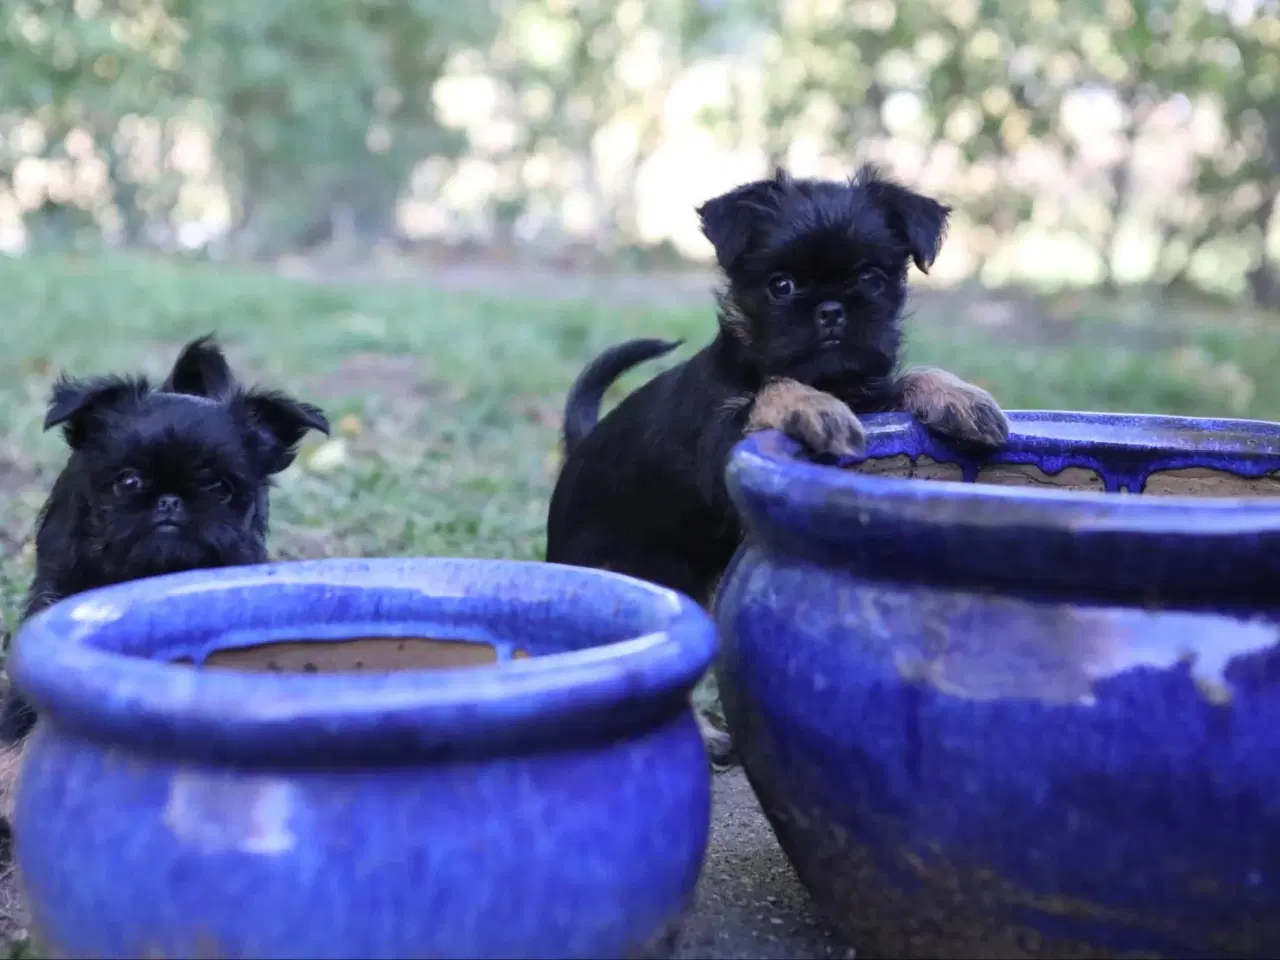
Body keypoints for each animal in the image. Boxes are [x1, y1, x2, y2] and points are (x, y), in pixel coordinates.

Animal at [550, 167, 1008, 757]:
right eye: (781, 286)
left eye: (871, 279)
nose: (831, 309)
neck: (829, 380)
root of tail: (580, 447)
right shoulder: (720, 445)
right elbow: (772, 390)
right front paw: (812, 406)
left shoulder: (873, 397)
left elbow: (907, 378)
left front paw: (958, 397)